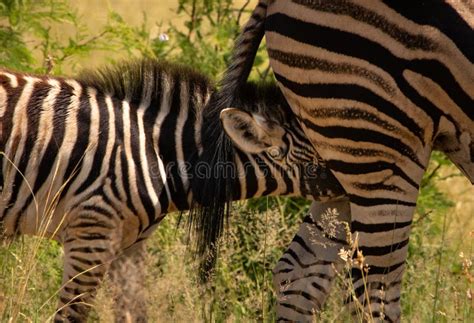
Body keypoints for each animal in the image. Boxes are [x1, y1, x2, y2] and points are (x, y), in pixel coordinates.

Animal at [0, 59, 344, 322]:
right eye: (329, 147)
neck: (158, 155)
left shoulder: (127, 245)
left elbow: (133, 313)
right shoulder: (91, 232)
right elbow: (72, 315)